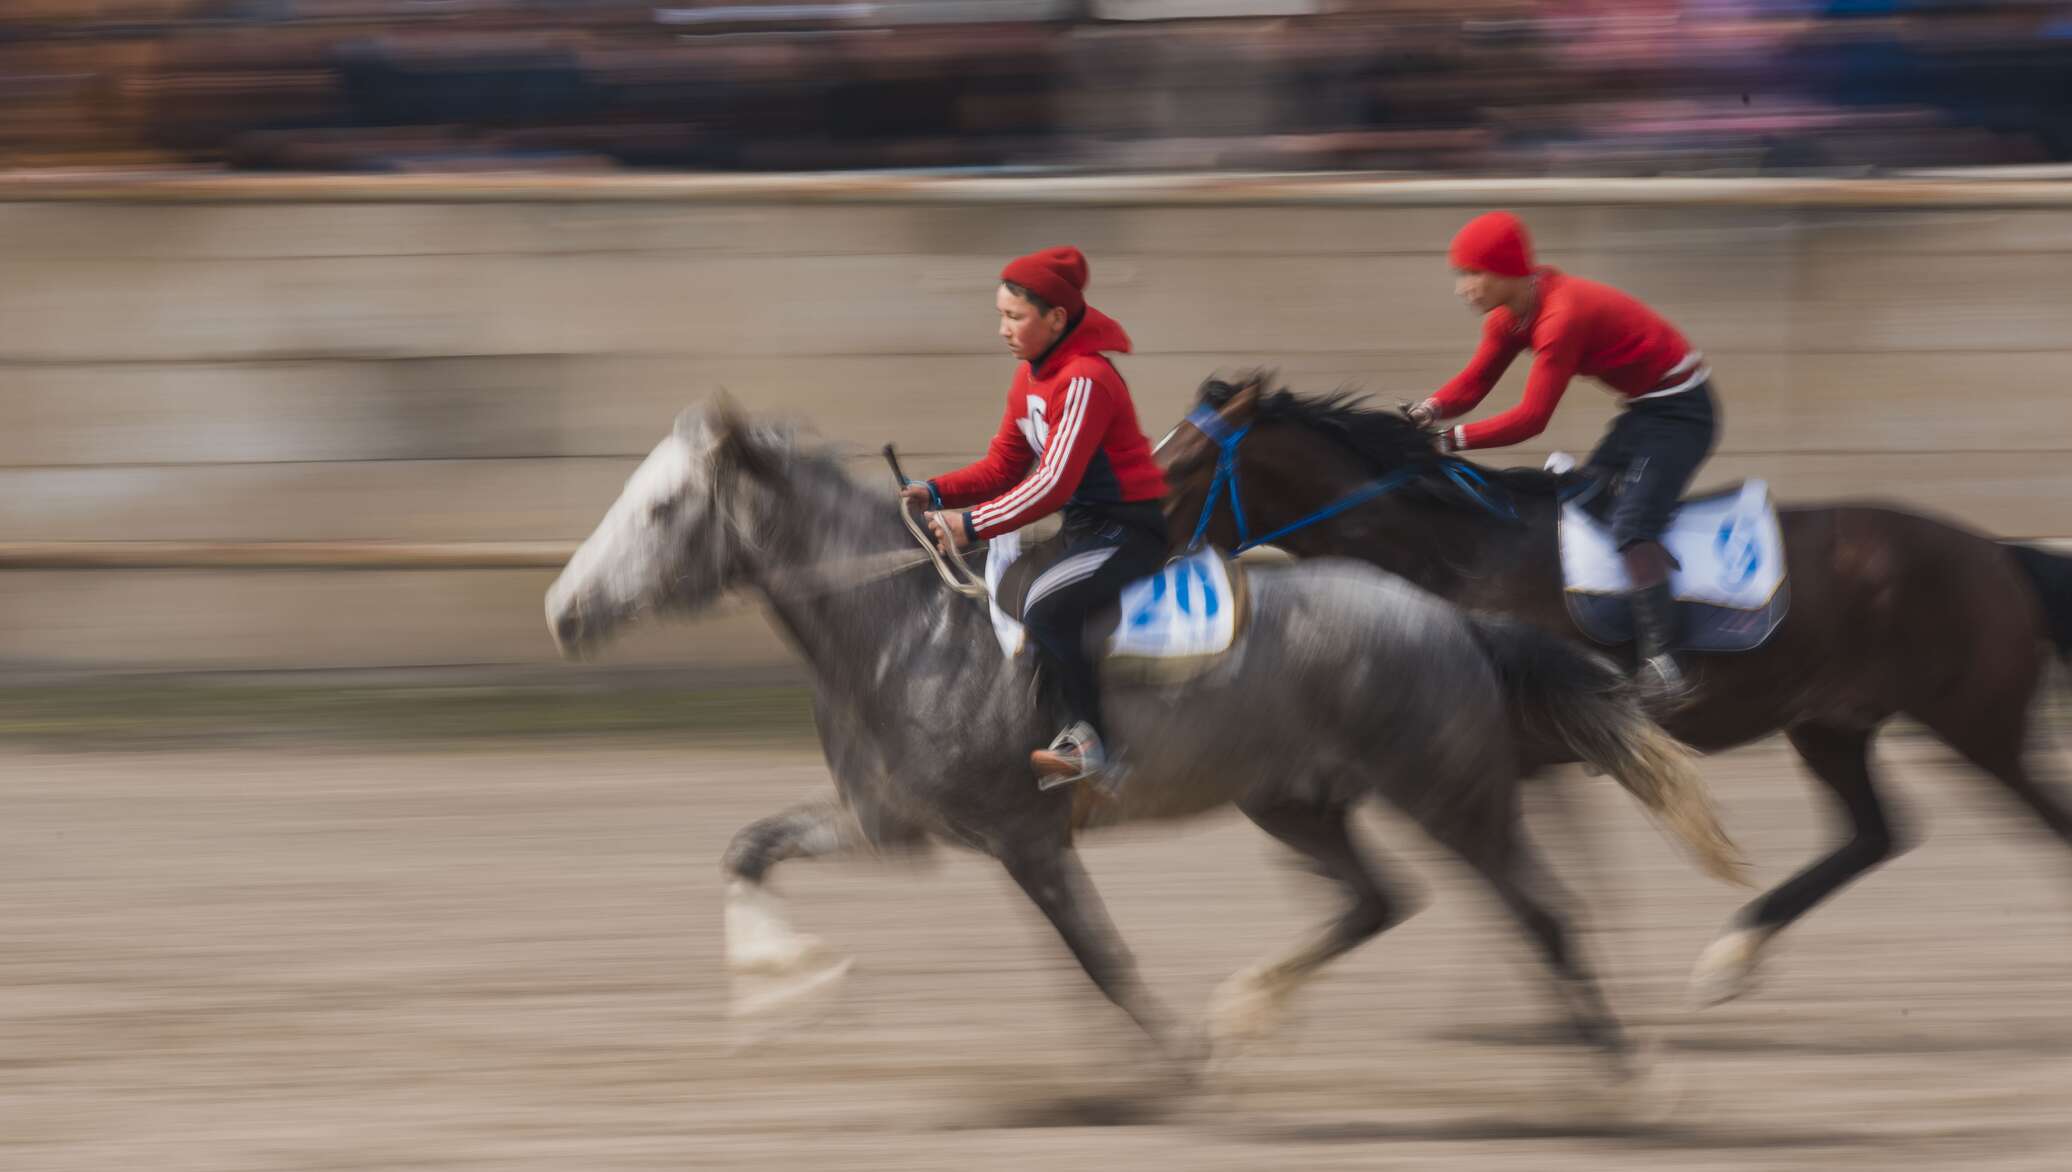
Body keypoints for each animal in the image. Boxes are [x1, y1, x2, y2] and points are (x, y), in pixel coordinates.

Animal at [542, 399, 1740, 1085]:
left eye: (662, 510)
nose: (563, 610)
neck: (904, 630)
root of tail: (1450, 618)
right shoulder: (893, 823)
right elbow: (747, 848)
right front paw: (786, 986)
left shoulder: (1026, 837)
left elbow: (1101, 959)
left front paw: (1170, 1061)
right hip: (1296, 801)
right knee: (1379, 900)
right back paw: (1251, 1009)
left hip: (1452, 793)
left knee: (1540, 909)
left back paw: (1615, 1073)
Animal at [1160, 376, 2072, 1010]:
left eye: (1178, 464)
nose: (1122, 535)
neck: (1445, 554)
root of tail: (1998, 552)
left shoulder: (1502, 745)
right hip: (1830, 724)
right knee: (1874, 834)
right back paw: (1730, 958)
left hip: (1975, 719)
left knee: (2037, 822)